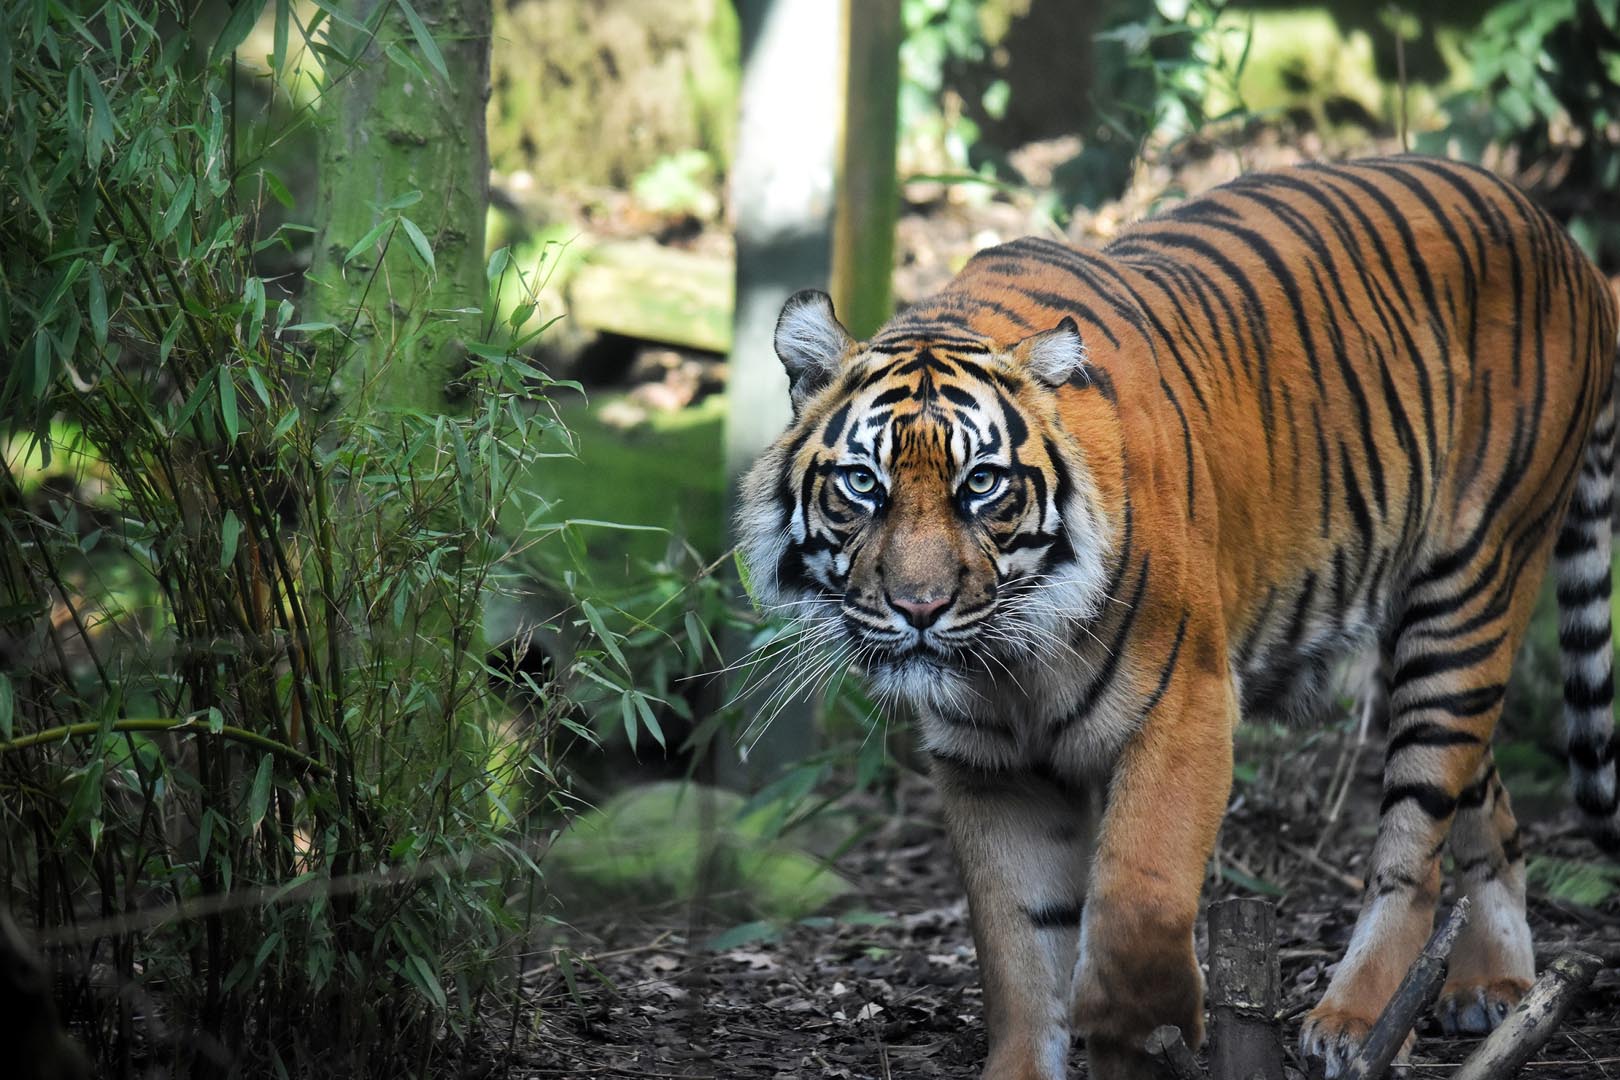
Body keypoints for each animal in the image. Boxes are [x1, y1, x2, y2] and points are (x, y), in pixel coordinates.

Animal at [738, 153, 1620, 1080]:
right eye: (861, 484)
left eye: (980, 484)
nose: (920, 607)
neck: (1011, 665)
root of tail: (1565, 244)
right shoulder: (987, 763)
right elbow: (1018, 944)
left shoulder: (1184, 706)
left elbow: (1136, 904)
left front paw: (1141, 1037)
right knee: (1487, 801)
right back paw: (1494, 984)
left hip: (1470, 588)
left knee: (1415, 840)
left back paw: (1358, 1019)